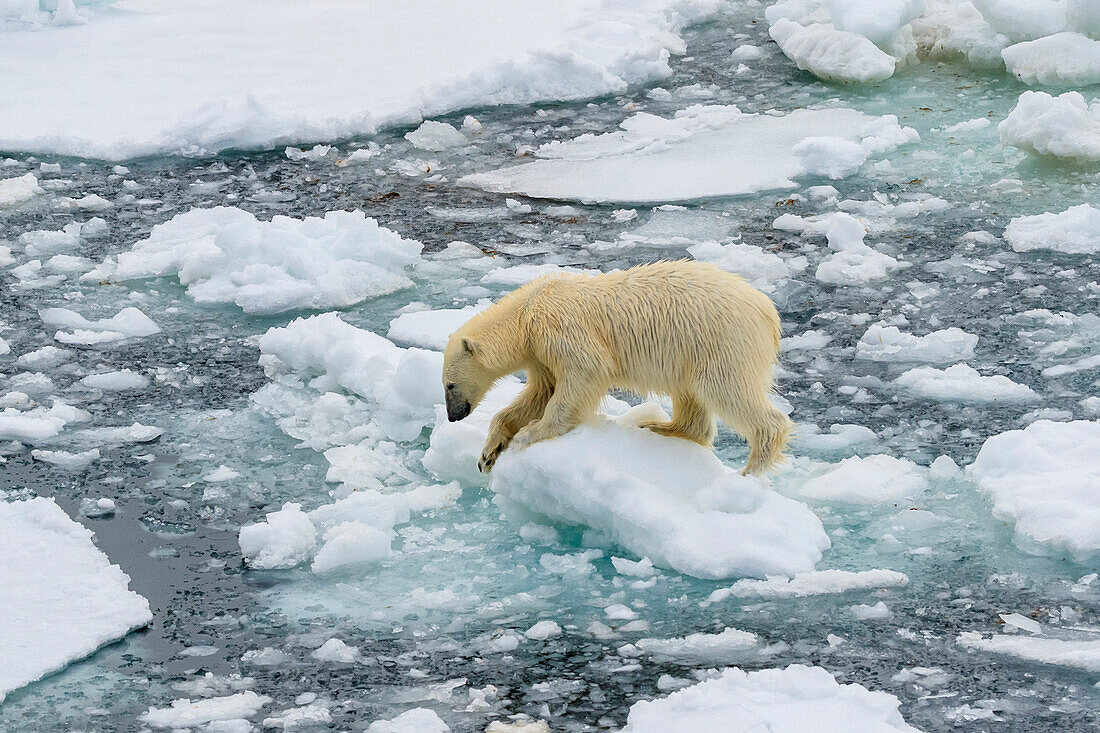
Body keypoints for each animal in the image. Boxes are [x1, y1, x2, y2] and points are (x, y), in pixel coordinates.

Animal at [442, 259, 796, 477]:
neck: (525, 314)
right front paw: (488, 453)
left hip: (720, 340)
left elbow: (583, 373)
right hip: (692, 350)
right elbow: (540, 392)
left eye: (449, 385)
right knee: (690, 395)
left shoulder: (559, 330)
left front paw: (531, 433)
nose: (453, 416)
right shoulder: (540, 354)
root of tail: (768, 311)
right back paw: (658, 426)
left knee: (725, 389)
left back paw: (752, 468)